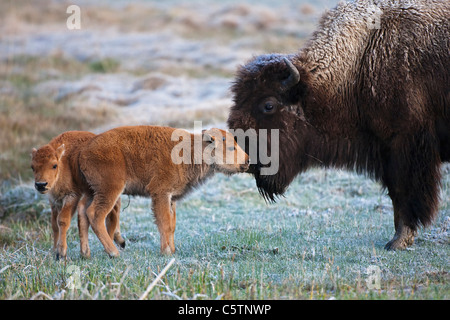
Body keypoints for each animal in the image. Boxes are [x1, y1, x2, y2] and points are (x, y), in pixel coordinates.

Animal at [81, 125, 250, 258]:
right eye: (231, 147)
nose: (247, 161)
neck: (190, 151)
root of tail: (84, 152)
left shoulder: (171, 198)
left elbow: (172, 225)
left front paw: (173, 250)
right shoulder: (161, 193)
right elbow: (164, 223)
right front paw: (166, 252)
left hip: (91, 191)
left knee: (82, 213)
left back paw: (86, 254)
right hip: (110, 190)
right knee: (95, 215)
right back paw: (113, 253)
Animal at [229, 0, 450, 250]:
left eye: (268, 105)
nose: (245, 154)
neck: (361, 60)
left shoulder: (405, 147)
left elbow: (404, 193)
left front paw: (398, 241)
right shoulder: (387, 152)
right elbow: (396, 194)